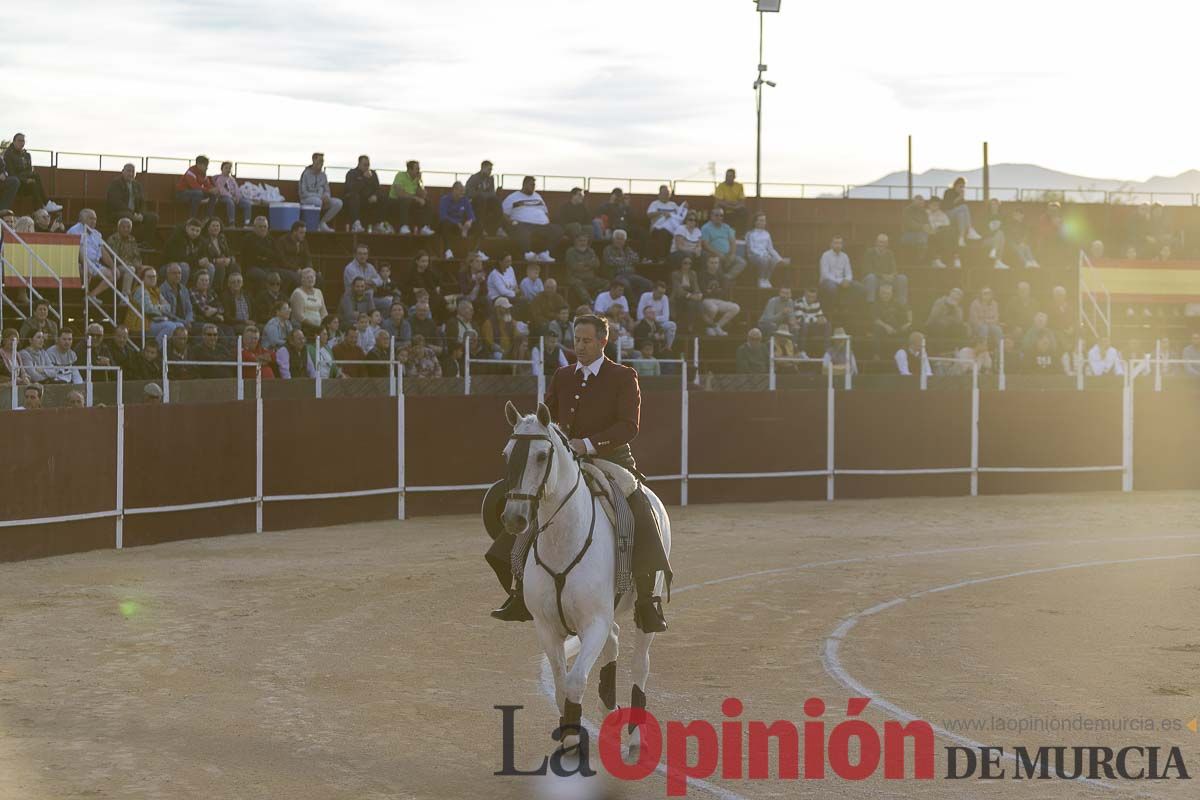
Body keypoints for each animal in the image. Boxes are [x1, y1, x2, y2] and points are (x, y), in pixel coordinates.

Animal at [501, 402, 676, 753]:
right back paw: (610, 709)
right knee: (615, 639)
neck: (563, 541)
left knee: (640, 663)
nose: (514, 518)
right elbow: (559, 684)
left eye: (542, 455)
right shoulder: (547, 626)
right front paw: (569, 736)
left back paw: (635, 733)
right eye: (507, 453)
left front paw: (573, 739)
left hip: (642, 611)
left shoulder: (594, 622)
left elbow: (575, 681)